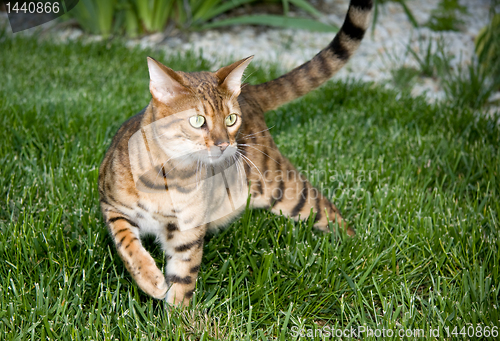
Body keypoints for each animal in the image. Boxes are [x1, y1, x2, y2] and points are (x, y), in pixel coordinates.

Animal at [98, 0, 372, 304]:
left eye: (230, 119)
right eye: (198, 121)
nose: (223, 144)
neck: (170, 178)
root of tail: (248, 91)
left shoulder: (188, 233)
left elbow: (183, 280)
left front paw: (177, 313)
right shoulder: (111, 205)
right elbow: (126, 243)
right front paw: (150, 279)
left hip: (284, 189)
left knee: (327, 209)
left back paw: (357, 247)